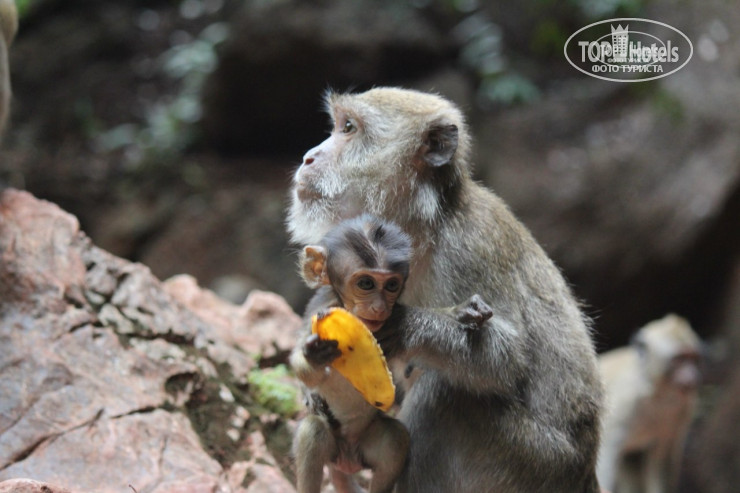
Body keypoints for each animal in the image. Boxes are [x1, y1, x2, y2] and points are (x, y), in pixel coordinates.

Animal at [286, 87, 604, 493]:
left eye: (348, 128)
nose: (309, 156)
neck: (423, 229)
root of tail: (584, 472)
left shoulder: (471, 249)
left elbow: (508, 358)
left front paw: (406, 326)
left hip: (534, 463)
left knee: (443, 396)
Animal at [596, 314, 703, 493]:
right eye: (679, 359)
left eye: (692, 358)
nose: (692, 375)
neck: (659, 394)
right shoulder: (624, 403)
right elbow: (607, 454)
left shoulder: (684, 408)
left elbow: (662, 458)